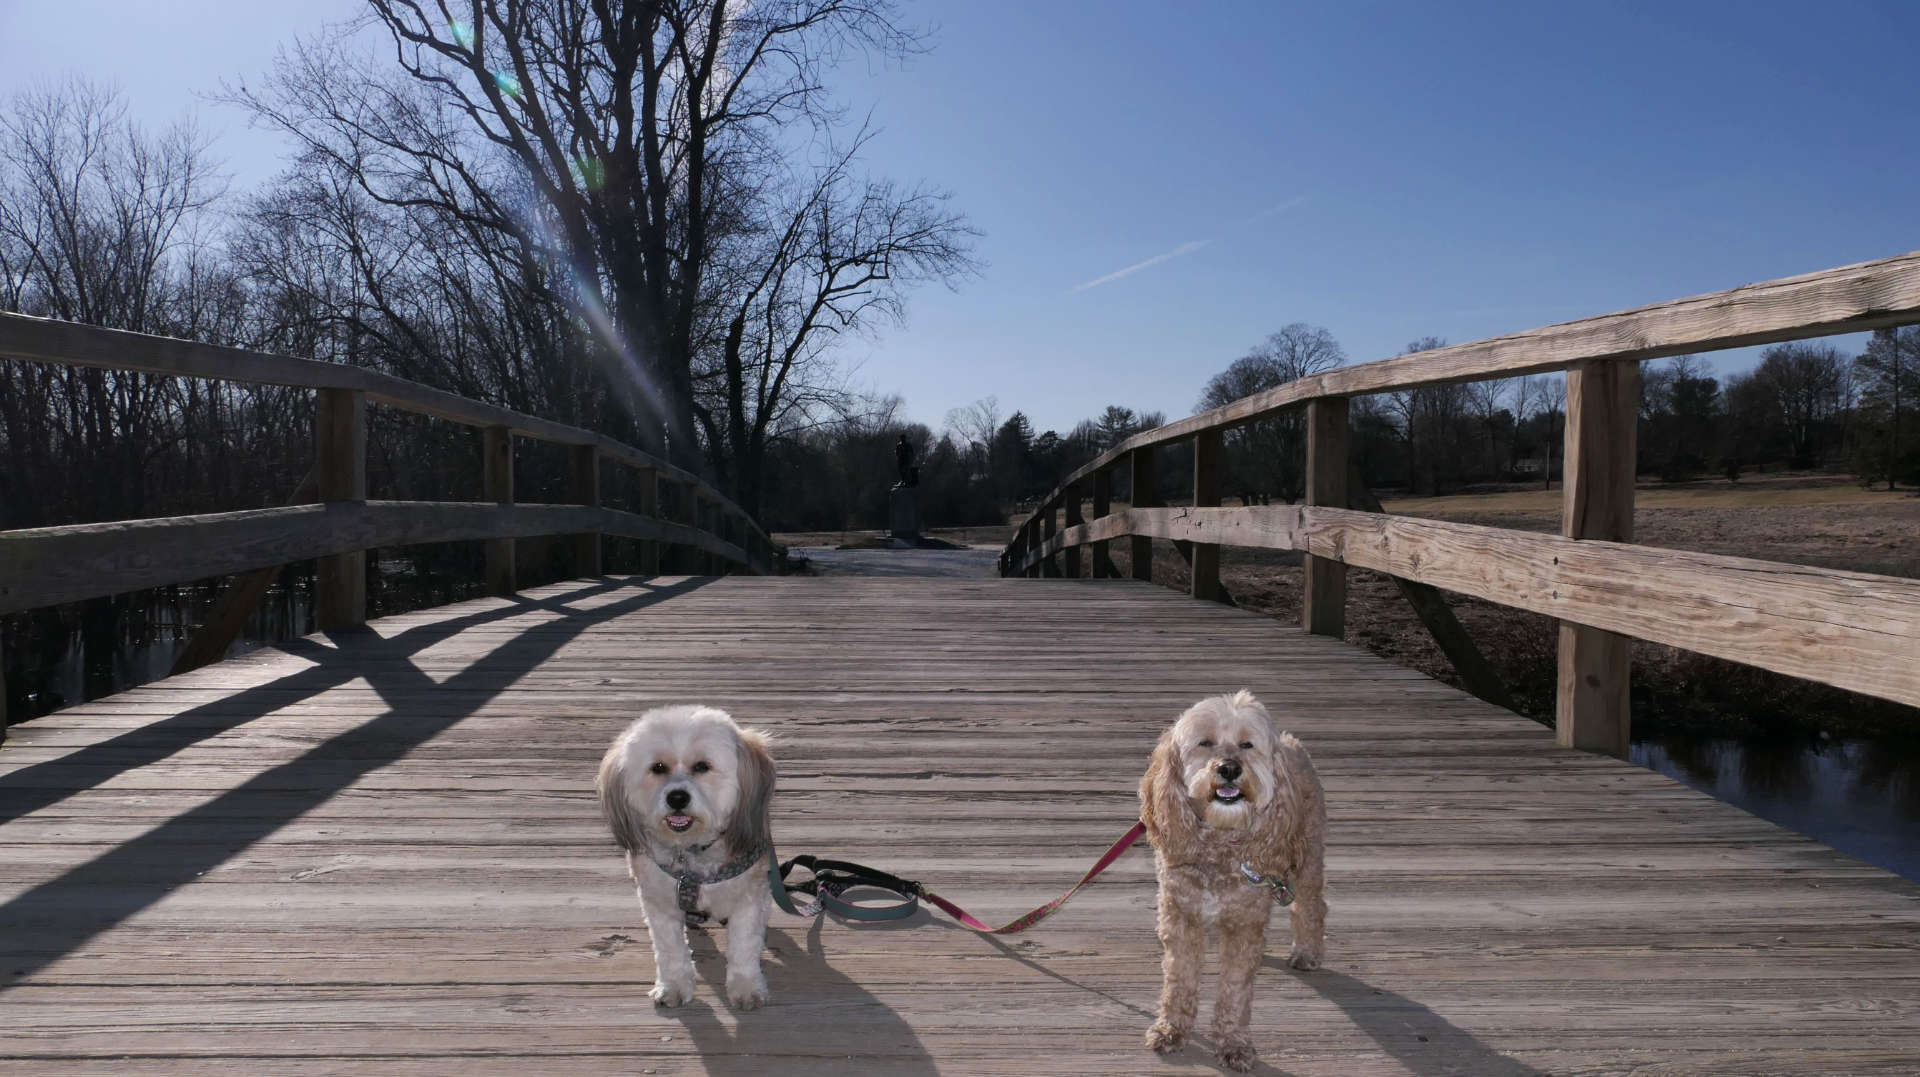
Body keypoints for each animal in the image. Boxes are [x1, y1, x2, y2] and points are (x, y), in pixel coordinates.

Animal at [599, 706, 779, 1005]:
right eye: (658, 767)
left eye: (702, 767)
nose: (677, 797)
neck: (692, 855)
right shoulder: (658, 901)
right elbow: (670, 949)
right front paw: (673, 986)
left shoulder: (750, 897)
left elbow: (744, 944)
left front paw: (746, 988)